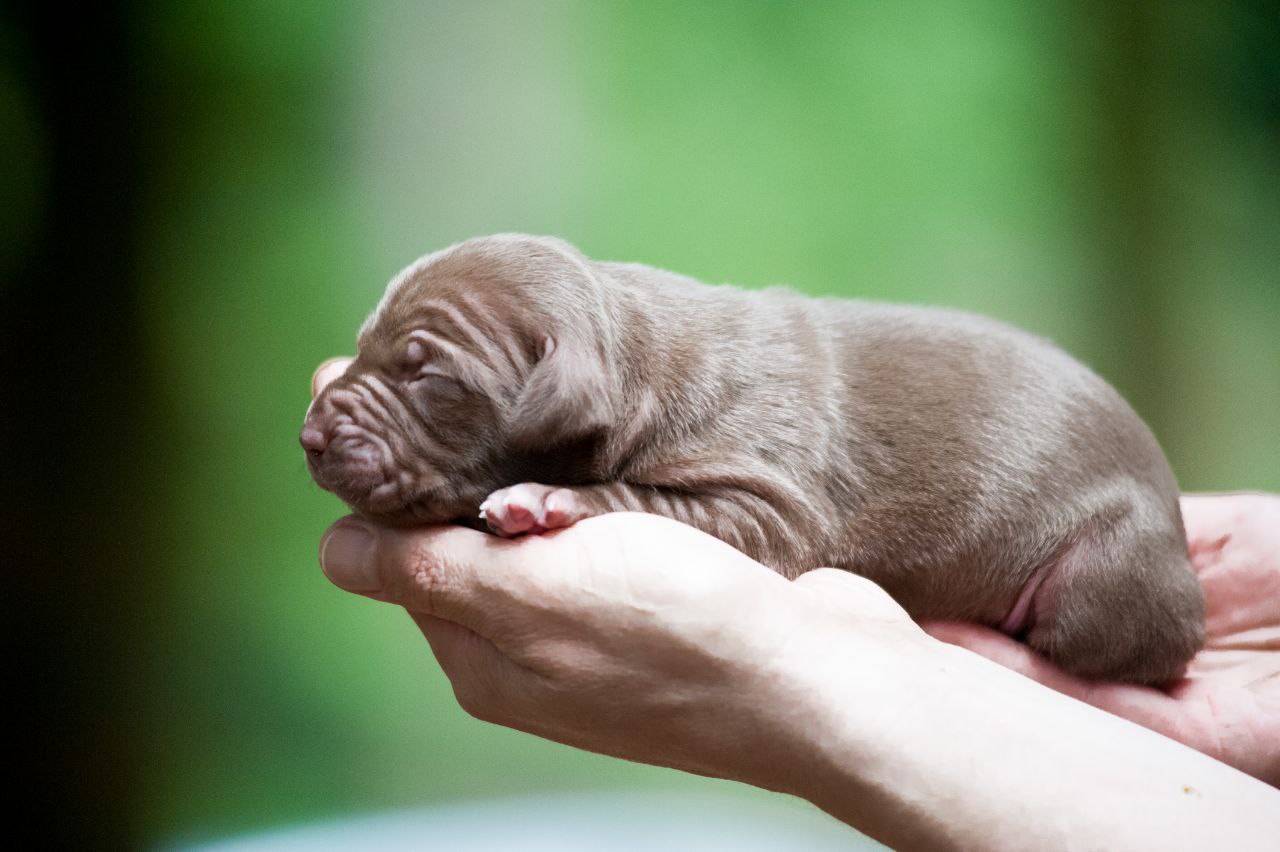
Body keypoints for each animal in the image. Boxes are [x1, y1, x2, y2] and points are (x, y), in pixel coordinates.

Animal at [302, 234, 1204, 684]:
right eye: (363, 347)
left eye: (426, 376)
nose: (310, 436)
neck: (639, 353)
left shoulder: (768, 500)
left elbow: (642, 496)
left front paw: (548, 500)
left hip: (1106, 577)